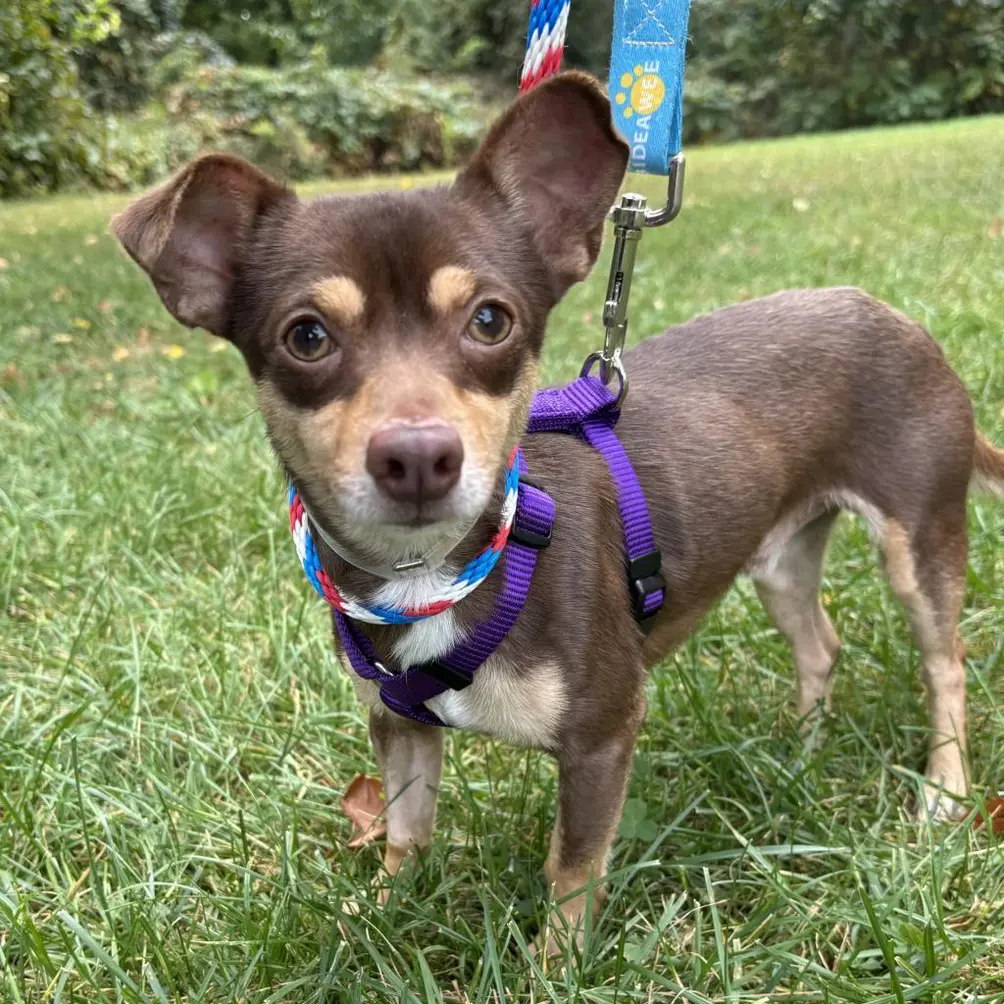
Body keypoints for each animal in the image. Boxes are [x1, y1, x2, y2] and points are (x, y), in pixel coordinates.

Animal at [111, 74, 1003, 943]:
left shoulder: (603, 735)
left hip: (918, 543)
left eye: (491, 320)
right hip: (779, 562)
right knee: (820, 644)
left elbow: (572, 870)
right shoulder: (400, 729)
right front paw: (377, 916)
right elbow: (405, 833)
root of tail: (903, 322)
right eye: (305, 337)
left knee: (946, 663)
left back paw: (944, 792)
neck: (442, 571)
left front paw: (556, 965)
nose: (418, 456)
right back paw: (800, 751)